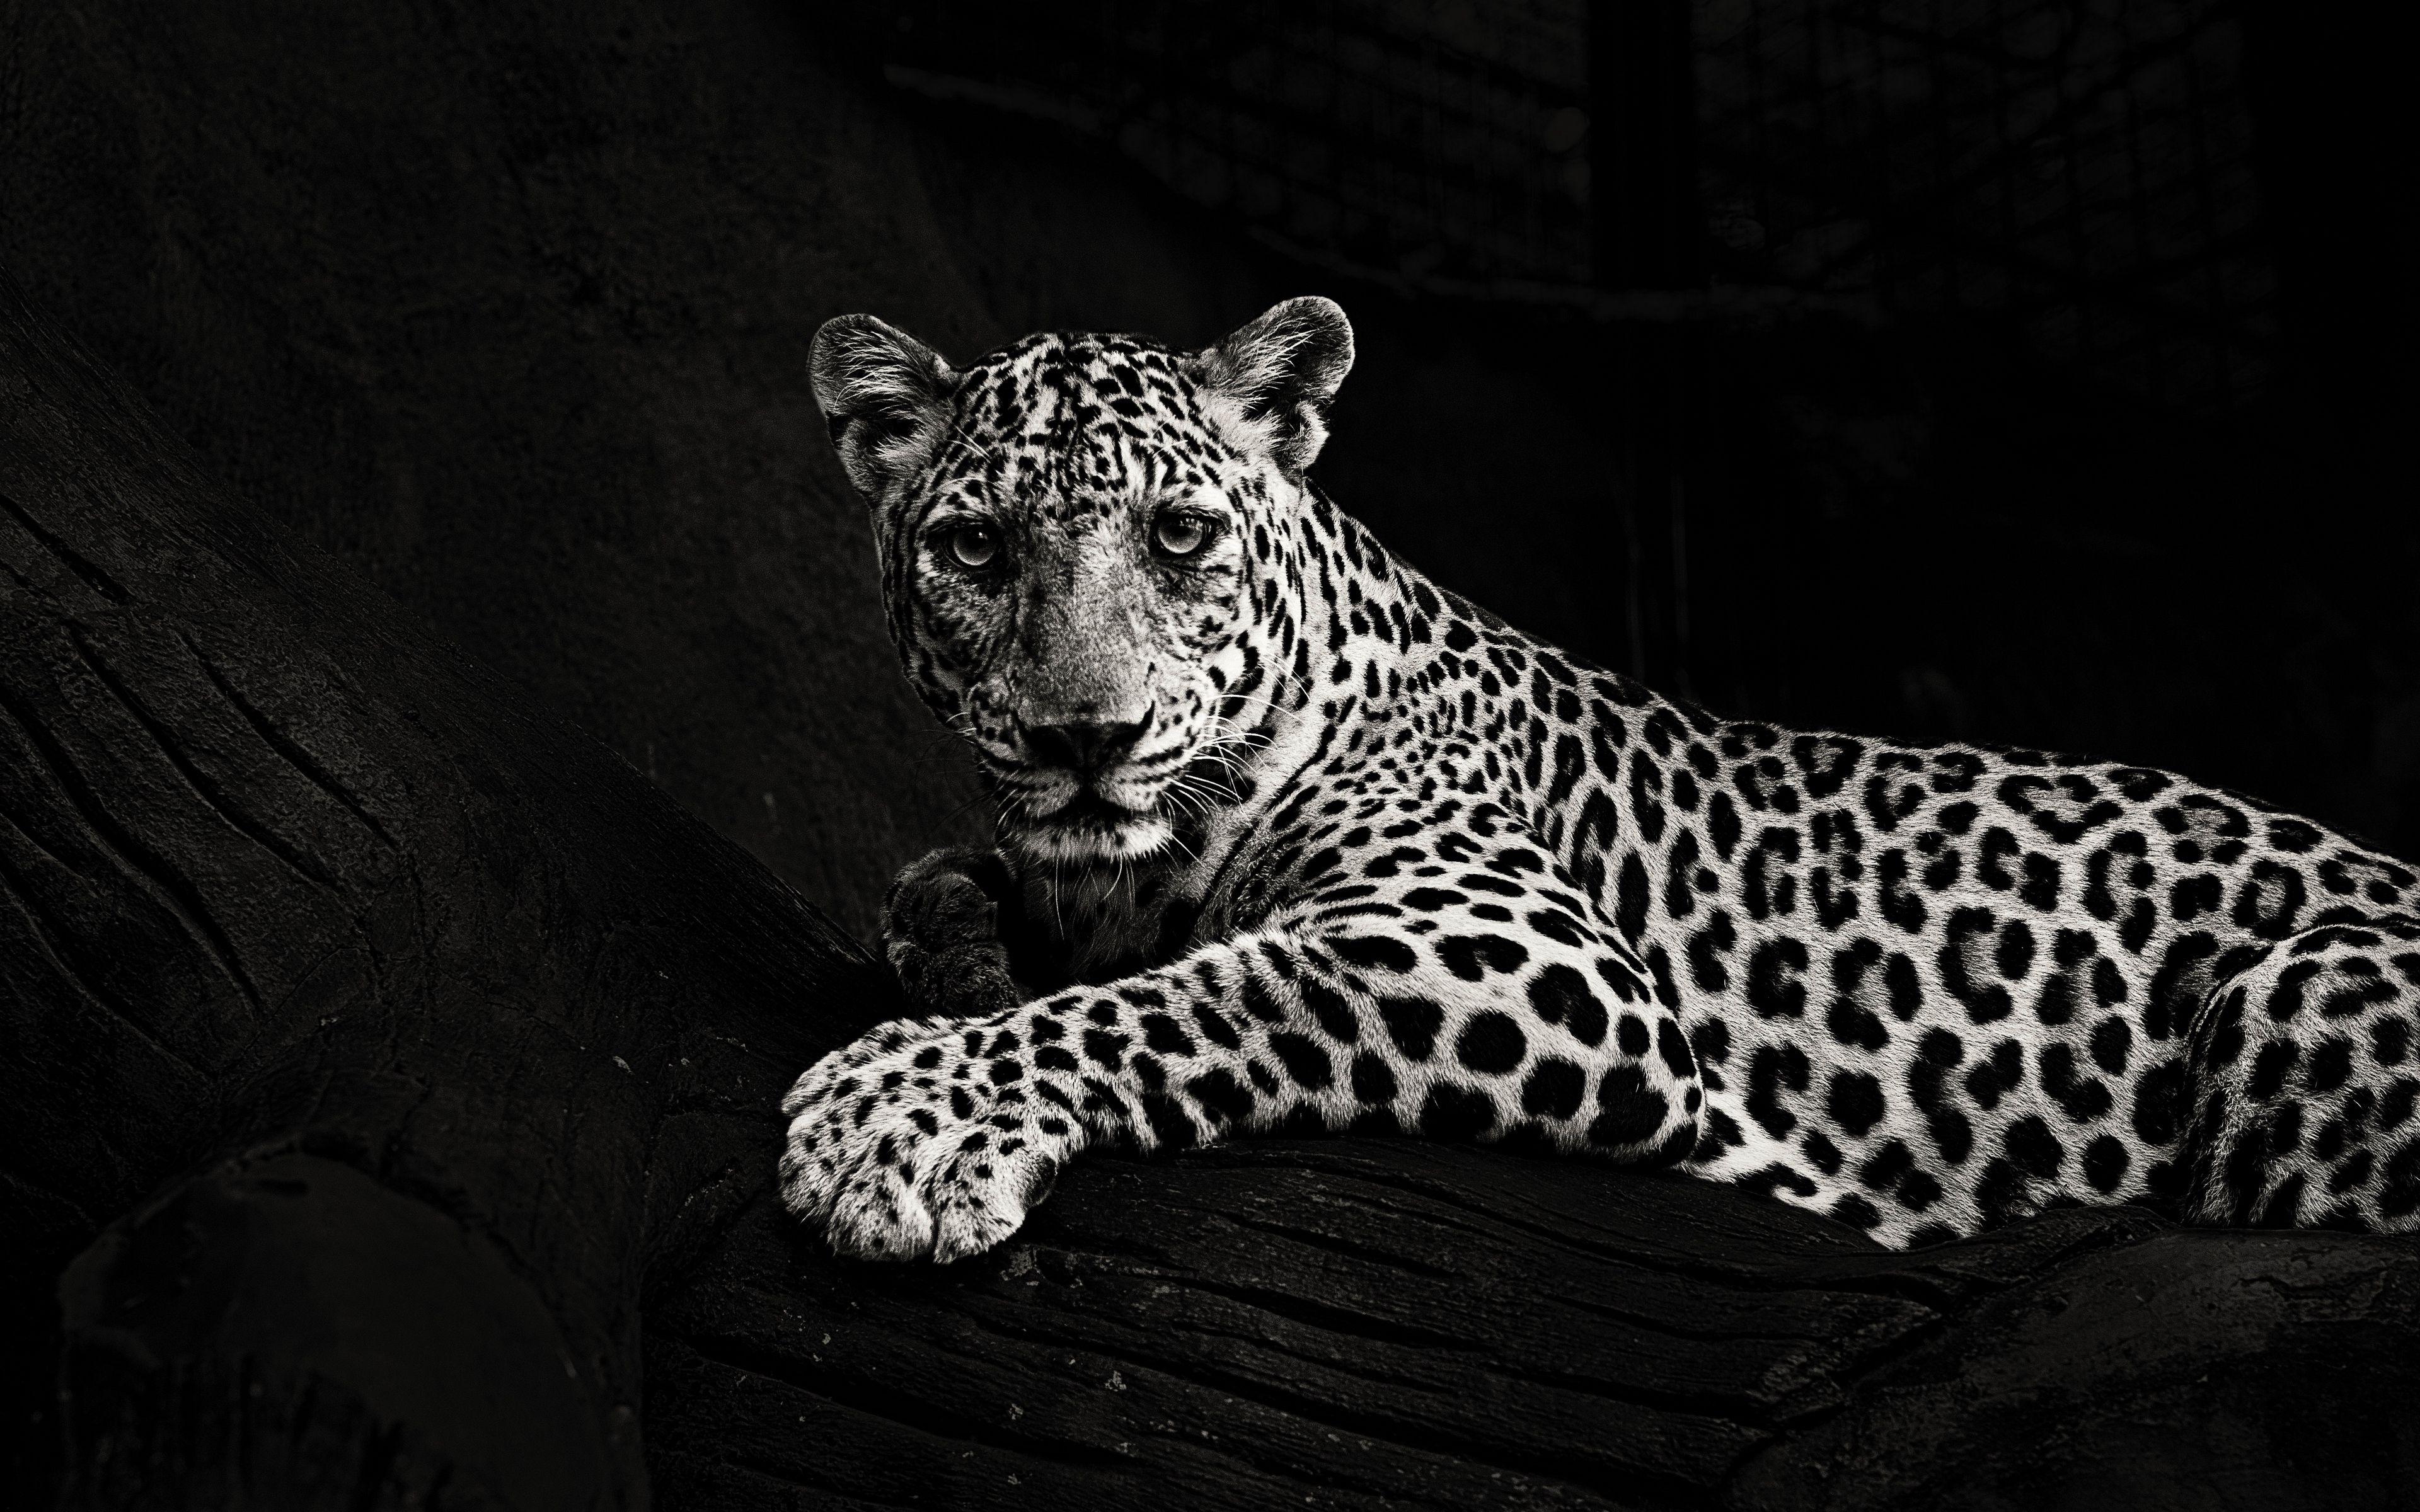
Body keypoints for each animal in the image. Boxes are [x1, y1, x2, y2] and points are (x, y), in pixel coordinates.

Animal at [781, 295, 2420, 1263]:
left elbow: (1208, 992)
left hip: (2296, 994)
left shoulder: (1517, 947)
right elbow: (942, 892)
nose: (1087, 735)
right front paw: (963, 964)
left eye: (1178, 537)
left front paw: (896, 1116)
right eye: (975, 548)